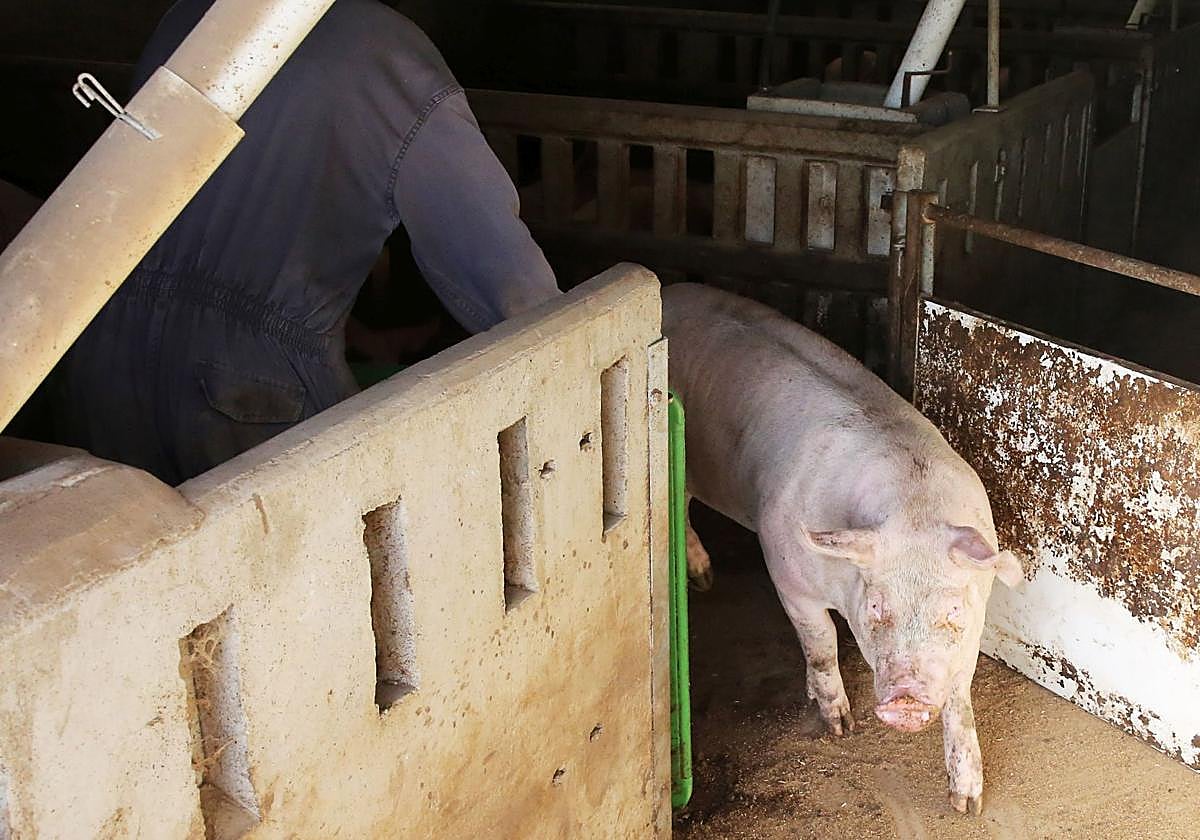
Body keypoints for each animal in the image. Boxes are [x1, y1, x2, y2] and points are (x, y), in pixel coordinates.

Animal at [662, 283, 1023, 815]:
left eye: (953, 610)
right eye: (875, 606)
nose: (907, 700)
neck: (914, 508)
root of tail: (667, 291)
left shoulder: (973, 628)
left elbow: (960, 702)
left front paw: (968, 804)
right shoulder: (787, 575)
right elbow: (821, 644)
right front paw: (839, 725)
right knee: (681, 504)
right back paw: (704, 579)